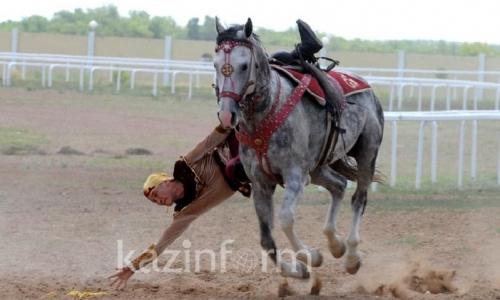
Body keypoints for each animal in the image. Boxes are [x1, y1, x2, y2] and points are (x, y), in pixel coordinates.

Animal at [214, 17, 382, 292]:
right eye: (216, 64)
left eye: (244, 65)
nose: (227, 114)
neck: (269, 108)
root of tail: (366, 87)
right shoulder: (261, 184)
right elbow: (266, 239)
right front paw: (299, 271)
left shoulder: (295, 177)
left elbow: (285, 219)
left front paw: (311, 256)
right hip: (318, 167)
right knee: (338, 185)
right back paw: (336, 245)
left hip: (367, 153)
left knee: (359, 198)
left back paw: (351, 257)